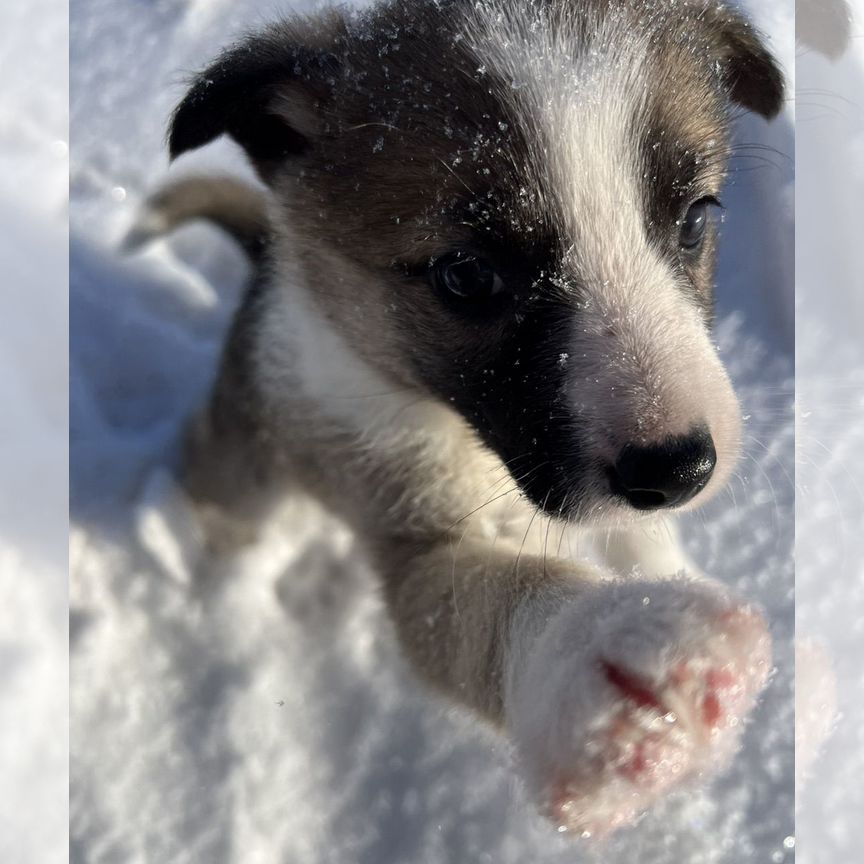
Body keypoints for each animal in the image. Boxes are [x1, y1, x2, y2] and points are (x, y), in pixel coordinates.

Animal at [140, 0, 784, 836]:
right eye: (468, 274)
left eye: (697, 218)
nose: (680, 468)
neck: (467, 444)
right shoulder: (416, 537)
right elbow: (486, 606)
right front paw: (606, 659)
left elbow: (645, 541)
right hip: (241, 467)